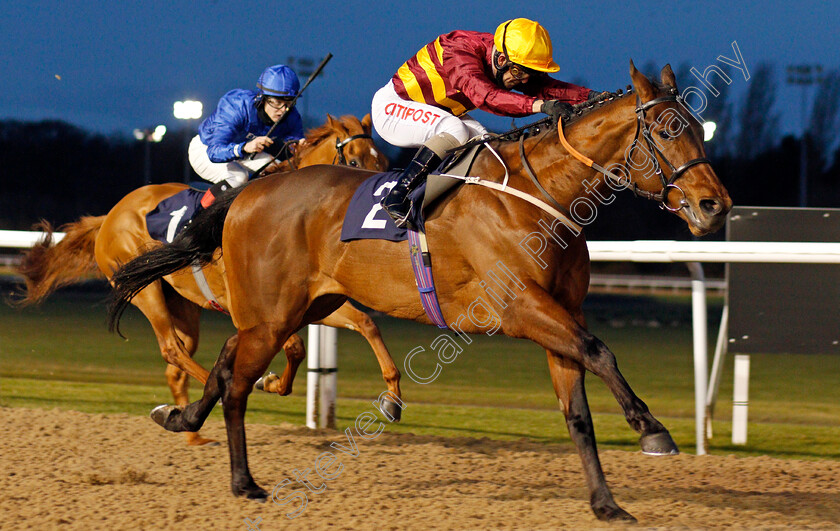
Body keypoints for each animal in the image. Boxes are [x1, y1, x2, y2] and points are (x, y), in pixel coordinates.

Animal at [13, 114, 398, 446]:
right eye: (353, 162)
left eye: (383, 163)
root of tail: (110, 215)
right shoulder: (254, 310)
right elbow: (294, 346)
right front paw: (266, 380)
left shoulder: (312, 300)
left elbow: (364, 323)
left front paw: (391, 396)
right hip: (146, 291)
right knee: (171, 349)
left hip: (182, 303)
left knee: (178, 360)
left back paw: (191, 431)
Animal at [110, 63, 728, 524]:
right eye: (668, 131)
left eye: (701, 129)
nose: (714, 205)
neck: (539, 194)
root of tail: (246, 196)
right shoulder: (523, 307)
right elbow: (601, 350)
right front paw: (652, 429)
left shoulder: (560, 313)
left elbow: (577, 412)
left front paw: (606, 503)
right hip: (268, 315)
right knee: (235, 384)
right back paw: (244, 482)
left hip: (292, 308)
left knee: (224, 362)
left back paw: (180, 418)